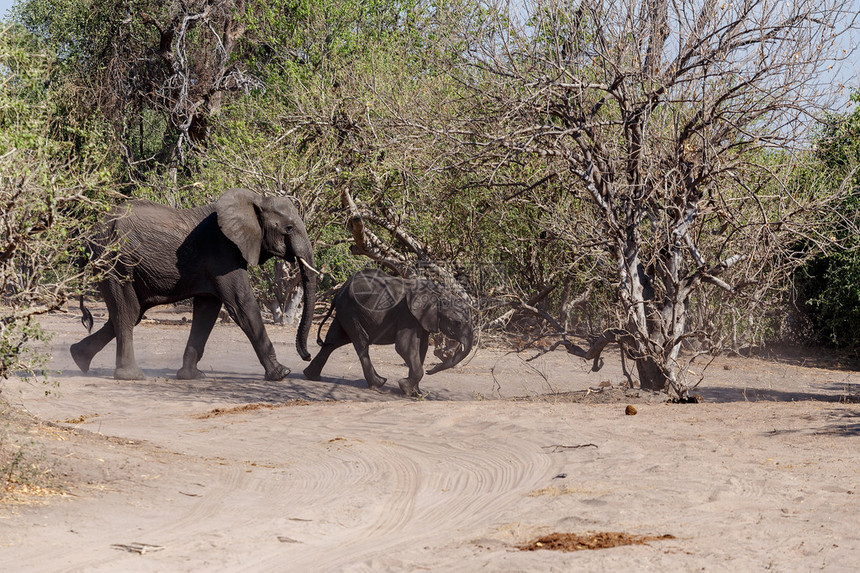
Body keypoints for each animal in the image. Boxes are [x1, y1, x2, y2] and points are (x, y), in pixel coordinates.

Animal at [67, 188, 316, 380]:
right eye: (289, 229)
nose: (307, 356)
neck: (255, 200)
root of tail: (91, 234)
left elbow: (207, 310)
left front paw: (191, 376)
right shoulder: (223, 253)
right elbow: (242, 305)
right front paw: (281, 374)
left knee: (132, 312)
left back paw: (78, 358)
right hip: (115, 262)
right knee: (127, 312)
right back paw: (132, 376)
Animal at [302, 268, 474, 394]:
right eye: (458, 323)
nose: (432, 370)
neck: (439, 294)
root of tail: (340, 289)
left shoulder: (423, 319)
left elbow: (421, 348)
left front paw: (416, 393)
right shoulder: (407, 315)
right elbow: (404, 347)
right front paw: (406, 388)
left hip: (345, 313)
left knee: (333, 341)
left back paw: (311, 376)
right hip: (351, 311)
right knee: (361, 341)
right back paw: (378, 384)